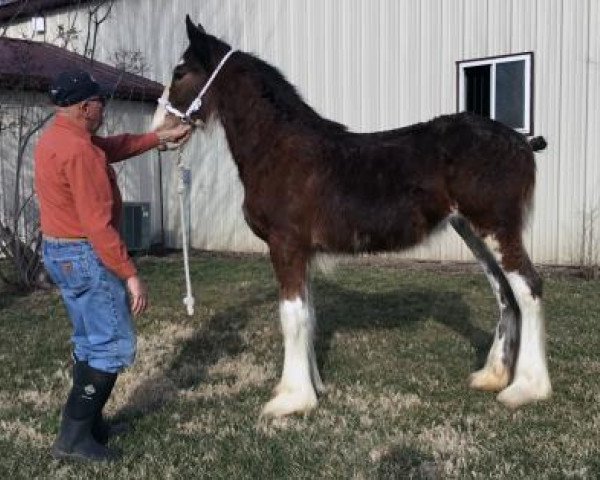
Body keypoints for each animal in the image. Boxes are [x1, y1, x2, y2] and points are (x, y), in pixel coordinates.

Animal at [151, 15, 552, 416]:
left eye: (180, 72)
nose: (157, 130)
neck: (279, 149)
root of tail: (521, 142)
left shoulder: (286, 245)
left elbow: (291, 317)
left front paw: (290, 398)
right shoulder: (302, 252)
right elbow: (308, 316)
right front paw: (313, 387)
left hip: (497, 228)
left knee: (528, 288)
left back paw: (527, 388)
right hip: (471, 230)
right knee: (504, 293)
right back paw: (492, 376)